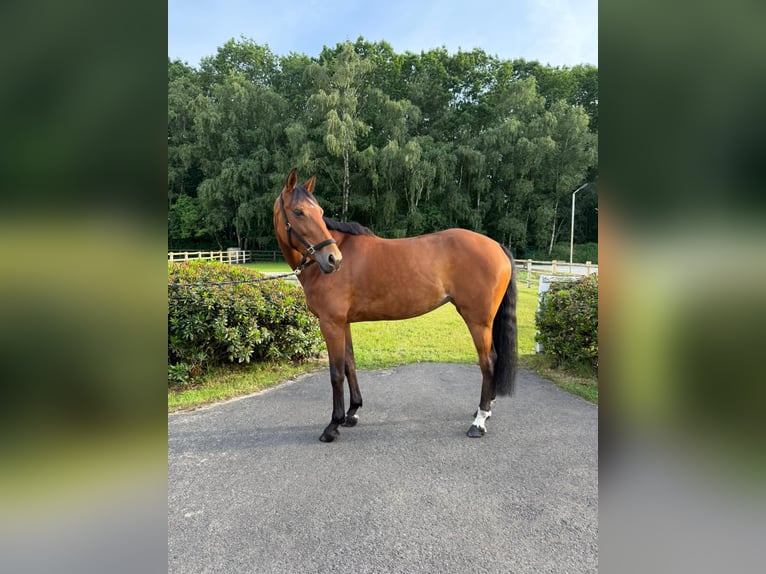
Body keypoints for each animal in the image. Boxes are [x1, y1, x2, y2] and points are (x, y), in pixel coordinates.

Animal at [273, 169, 517, 442]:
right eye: (298, 212)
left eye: (320, 212)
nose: (333, 259)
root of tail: (497, 246)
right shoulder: (343, 323)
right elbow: (350, 365)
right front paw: (352, 413)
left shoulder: (330, 324)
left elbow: (336, 374)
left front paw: (333, 425)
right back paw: (485, 410)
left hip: (478, 320)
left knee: (488, 362)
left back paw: (479, 421)